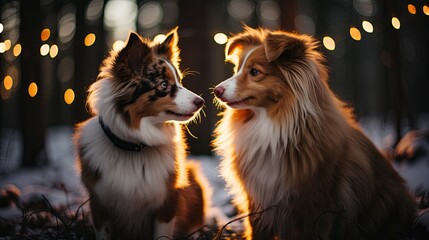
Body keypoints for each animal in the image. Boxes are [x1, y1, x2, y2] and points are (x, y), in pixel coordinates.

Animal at [75, 28, 207, 240]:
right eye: (163, 85)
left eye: (179, 81)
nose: (201, 101)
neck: (135, 147)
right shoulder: (99, 204)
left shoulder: (166, 203)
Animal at [212, 26, 416, 240]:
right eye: (237, 70)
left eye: (254, 72)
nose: (216, 90)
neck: (271, 124)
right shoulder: (257, 200)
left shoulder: (316, 205)